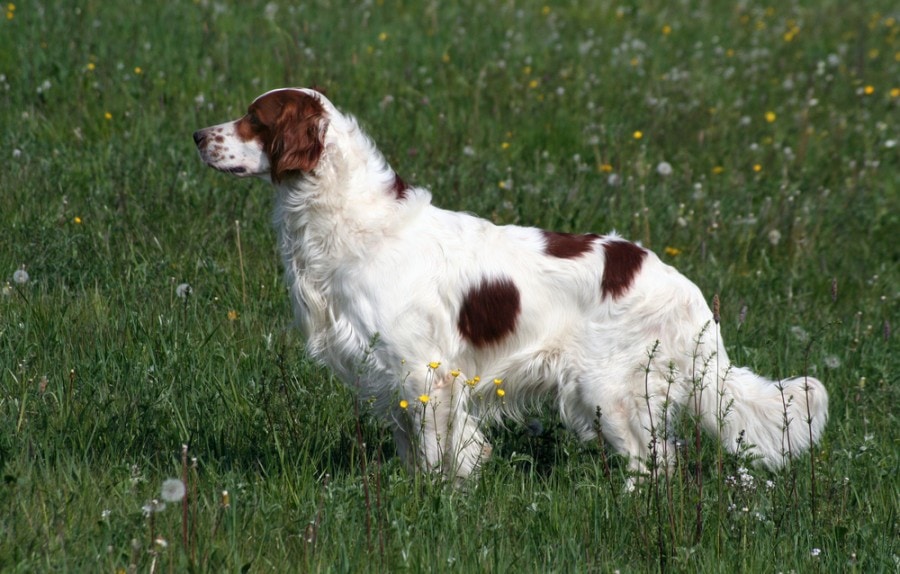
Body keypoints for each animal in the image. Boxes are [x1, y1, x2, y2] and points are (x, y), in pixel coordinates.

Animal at [193, 88, 828, 484]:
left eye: (256, 118)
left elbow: (437, 458)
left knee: (651, 465)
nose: (198, 135)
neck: (349, 220)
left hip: (608, 393)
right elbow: (415, 453)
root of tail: (688, 293)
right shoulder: (391, 377)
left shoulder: (424, 374)